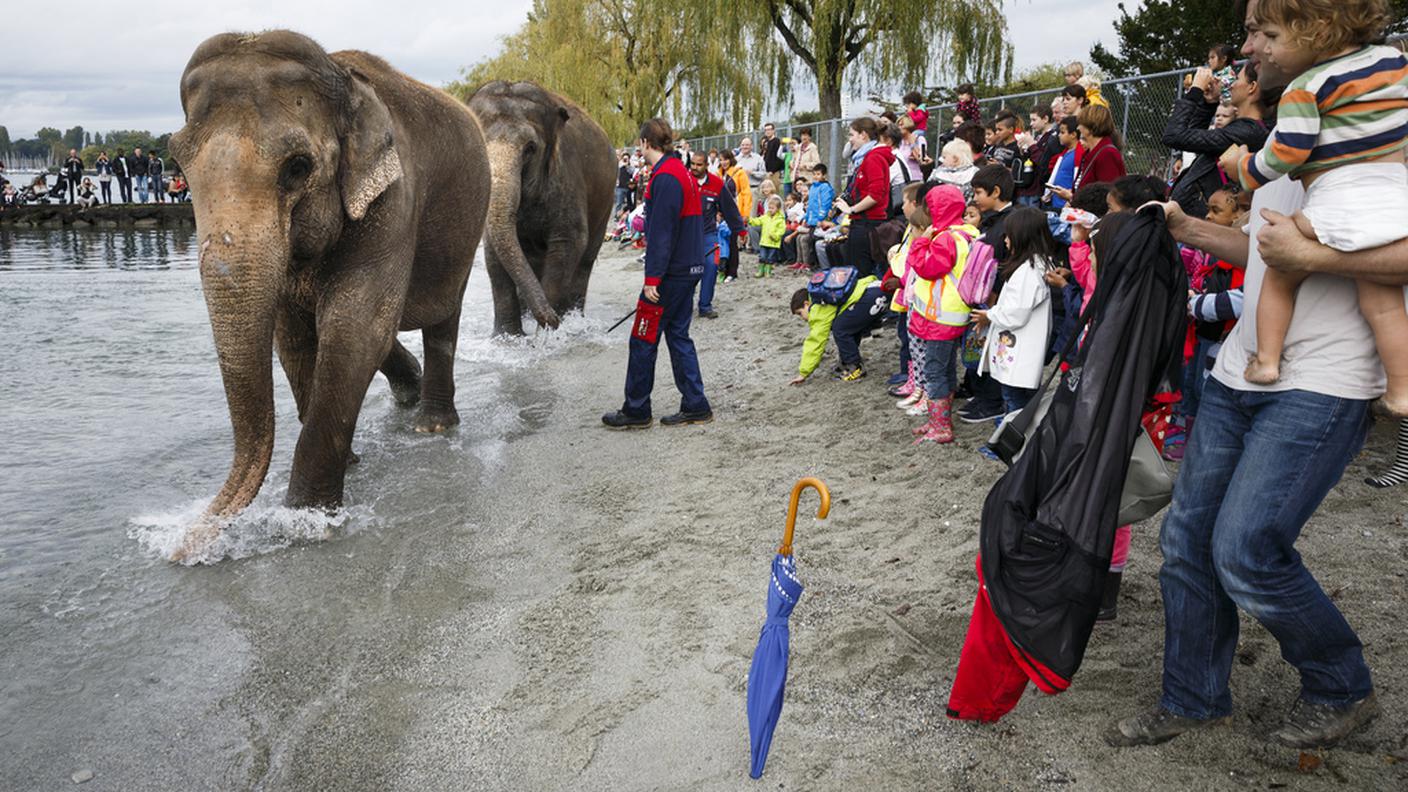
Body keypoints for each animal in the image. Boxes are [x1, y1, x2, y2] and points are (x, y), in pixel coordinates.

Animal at [166, 32, 489, 560]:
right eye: (179, 166)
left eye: (298, 167)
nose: (181, 550)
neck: (343, 81)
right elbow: (295, 338)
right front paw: (351, 464)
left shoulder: (394, 199)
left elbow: (356, 325)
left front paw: (306, 519)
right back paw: (409, 392)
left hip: (467, 220)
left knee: (443, 315)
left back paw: (432, 425)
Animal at [467, 81, 616, 333]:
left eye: (530, 148)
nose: (551, 319)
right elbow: (493, 254)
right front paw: (508, 337)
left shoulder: (565, 178)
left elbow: (569, 243)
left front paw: (546, 334)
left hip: (607, 201)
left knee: (585, 260)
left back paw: (572, 318)